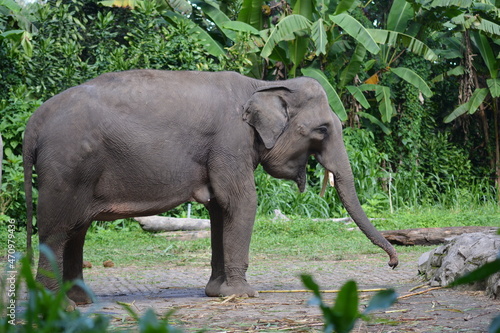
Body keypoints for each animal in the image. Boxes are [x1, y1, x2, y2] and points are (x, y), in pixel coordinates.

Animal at [23, 68, 398, 308]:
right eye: (322, 129)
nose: (393, 264)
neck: (265, 85)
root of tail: (33, 123)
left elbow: (219, 209)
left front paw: (217, 292)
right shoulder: (230, 141)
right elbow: (243, 202)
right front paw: (244, 294)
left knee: (77, 230)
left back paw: (82, 301)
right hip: (66, 168)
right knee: (57, 231)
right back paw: (60, 307)